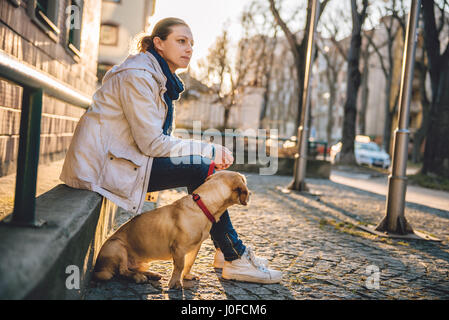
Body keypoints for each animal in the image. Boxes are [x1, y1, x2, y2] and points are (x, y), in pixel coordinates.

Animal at [93, 171, 250, 288]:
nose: (249, 195)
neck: (202, 205)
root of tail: (100, 267)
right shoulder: (178, 248)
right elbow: (179, 266)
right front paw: (175, 283)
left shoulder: (195, 247)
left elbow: (189, 263)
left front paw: (187, 276)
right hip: (117, 247)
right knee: (122, 271)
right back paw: (139, 277)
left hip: (142, 261)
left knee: (131, 269)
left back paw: (151, 274)